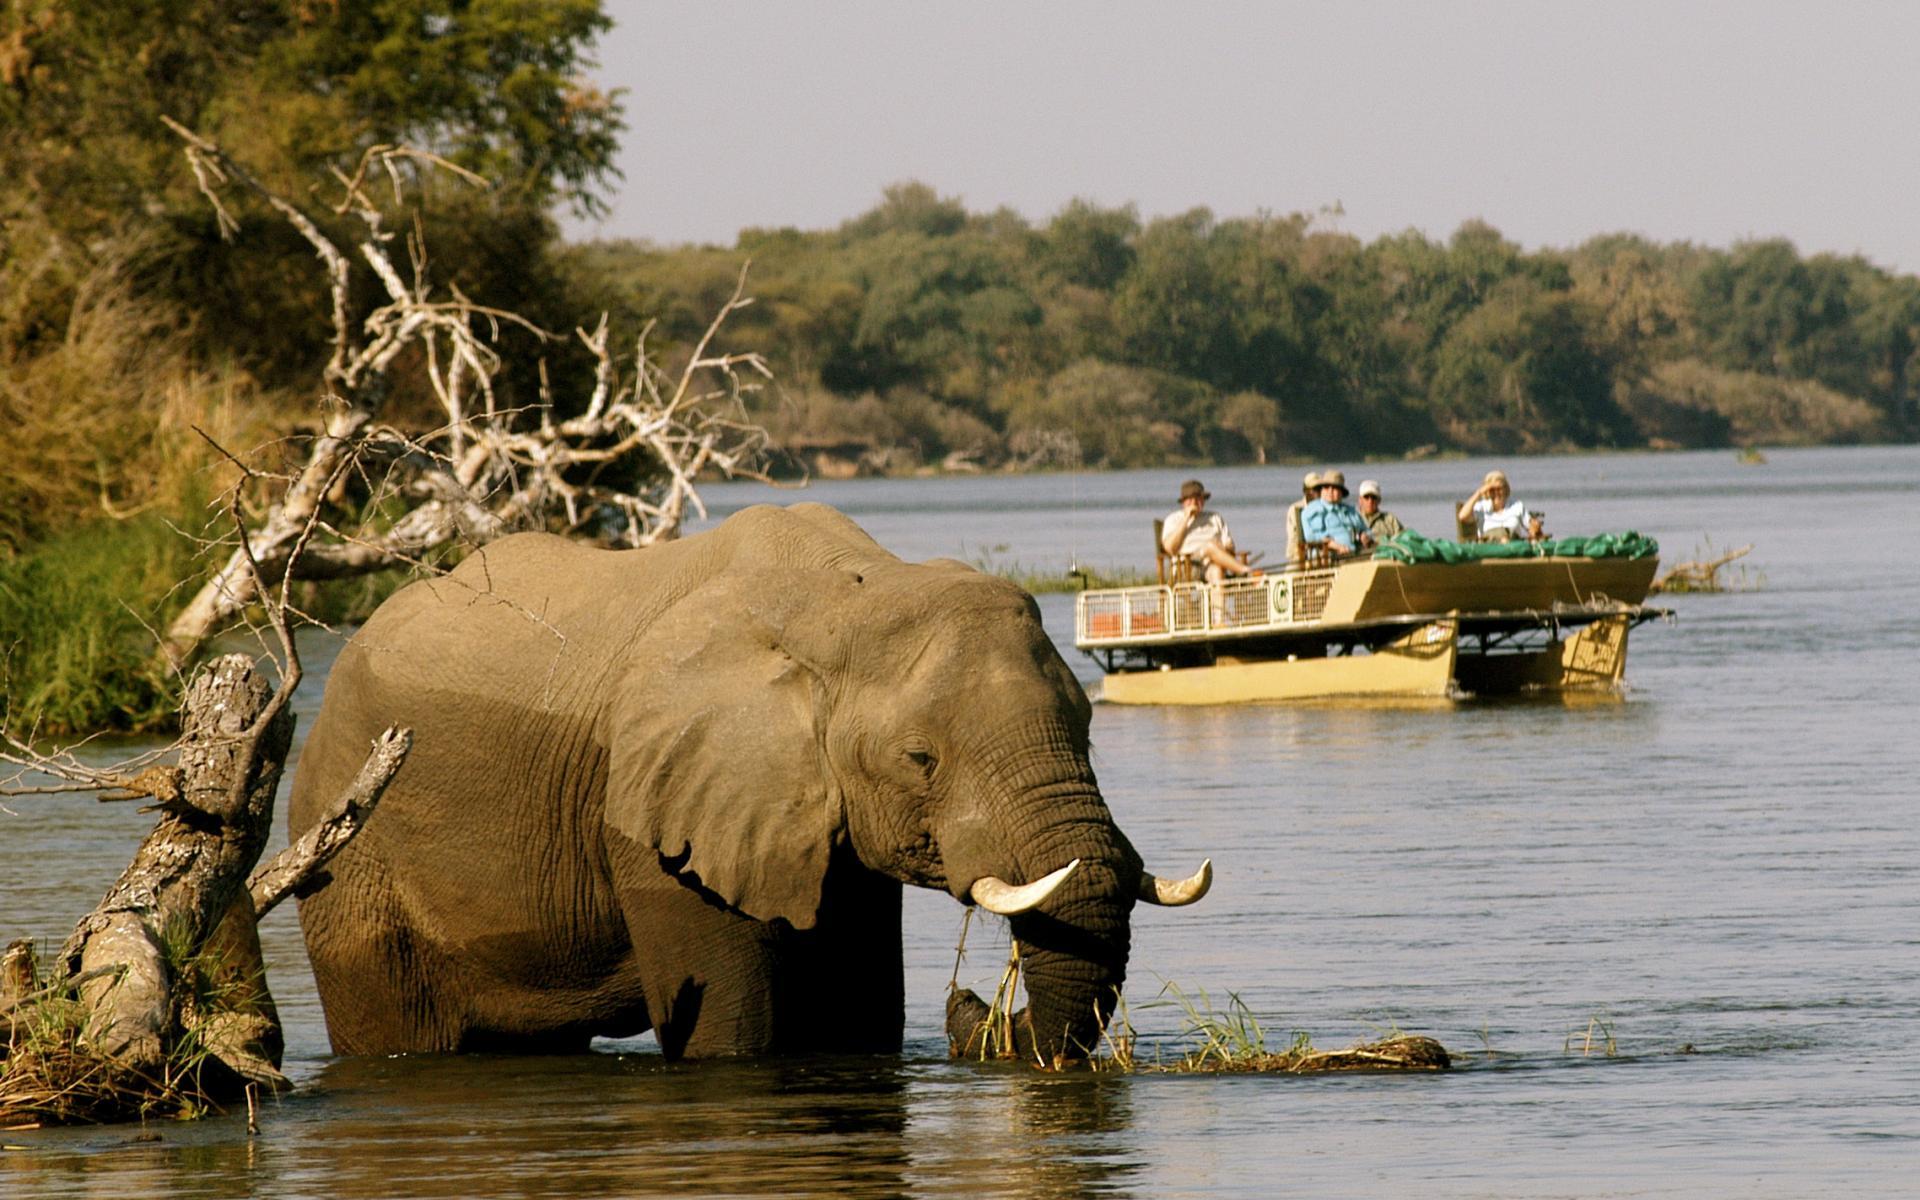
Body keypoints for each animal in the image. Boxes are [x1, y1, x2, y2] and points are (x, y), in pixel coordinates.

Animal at [289, 499, 1205, 1059]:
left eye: (1088, 728)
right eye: (921, 758)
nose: (975, 1009)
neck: (842, 595)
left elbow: (856, 1016)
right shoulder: (656, 808)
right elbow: (734, 1035)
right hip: (352, 852)